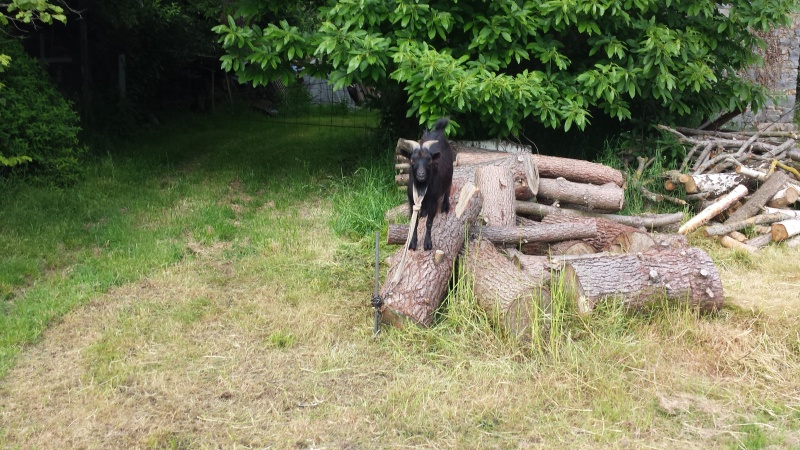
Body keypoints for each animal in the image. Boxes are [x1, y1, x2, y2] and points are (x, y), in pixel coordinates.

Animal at [398, 117, 454, 250]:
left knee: (448, 189)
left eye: (429, 161)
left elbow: (429, 223)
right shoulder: (411, 202)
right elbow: (414, 223)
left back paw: (445, 206)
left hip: (450, 176)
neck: (421, 187)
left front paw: (427, 243)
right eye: (412, 160)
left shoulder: (433, 201)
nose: (421, 174)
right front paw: (412, 243)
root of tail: (437, 131)